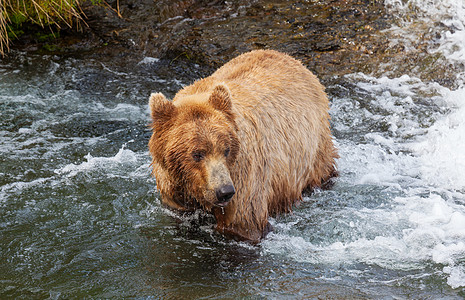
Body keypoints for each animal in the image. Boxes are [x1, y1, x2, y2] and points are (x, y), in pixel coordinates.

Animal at [149, 49, 338, 241]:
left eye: (226, 150)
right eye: (197, 154)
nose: (224, 191)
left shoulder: (243, 178)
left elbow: (244, 223)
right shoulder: (174, 190)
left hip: (314, 147)